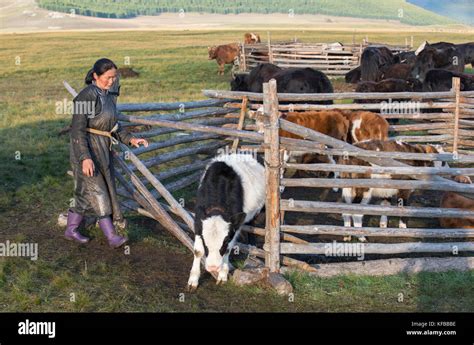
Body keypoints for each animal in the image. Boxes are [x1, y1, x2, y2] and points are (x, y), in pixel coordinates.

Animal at [186, 152, 266, 288]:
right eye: (204, 241)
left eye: (225, 241)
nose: (213, 267)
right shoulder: (198, 221)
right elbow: (198, 251)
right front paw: (193, 279)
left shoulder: (236, 224)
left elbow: (228, 249)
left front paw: (222, 275)